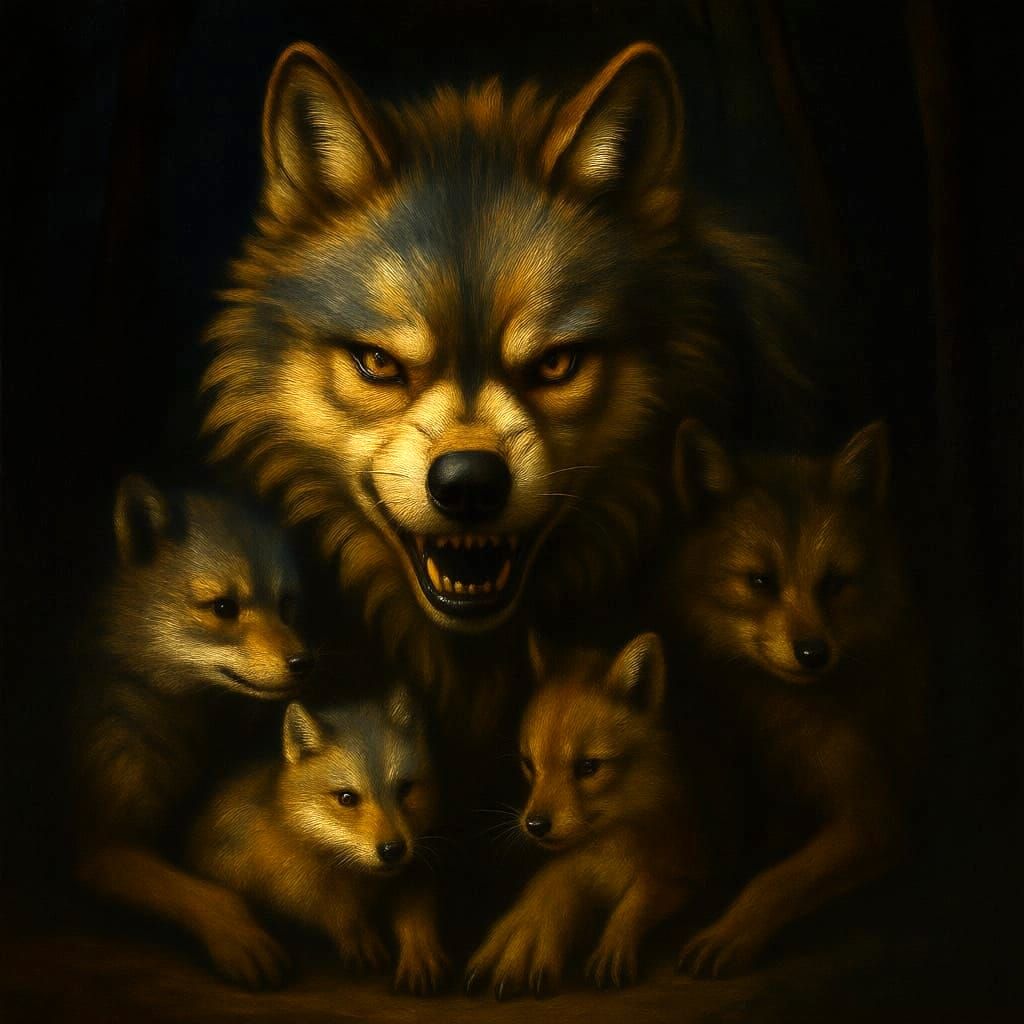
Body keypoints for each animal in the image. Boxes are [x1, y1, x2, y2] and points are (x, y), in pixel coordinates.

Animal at [73, 475, 311, 987]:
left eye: (287, 606)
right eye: (224, 607)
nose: (305, 662)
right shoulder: (102, 845)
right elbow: (206, 892)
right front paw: (240, 937)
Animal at [187, 690, 446, 994]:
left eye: (404, 789)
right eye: (346, 798)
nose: (393, 850)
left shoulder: (413, 871)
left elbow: (416, 916)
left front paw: (421, 955)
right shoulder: (290, 887)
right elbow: (335, 912)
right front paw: (357, 936)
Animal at [465, 633, 708, 997]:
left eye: (588, 767)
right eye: (529, 764)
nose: (535, 825)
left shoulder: (684, 873)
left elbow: (638, 897)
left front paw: (612, 946)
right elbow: (556, 883)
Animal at [669, 420, 927, 977]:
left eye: (834, 583)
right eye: (761, 581)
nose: (813, 653)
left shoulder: (872, 817)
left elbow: (778, 879)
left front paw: (730, 933)